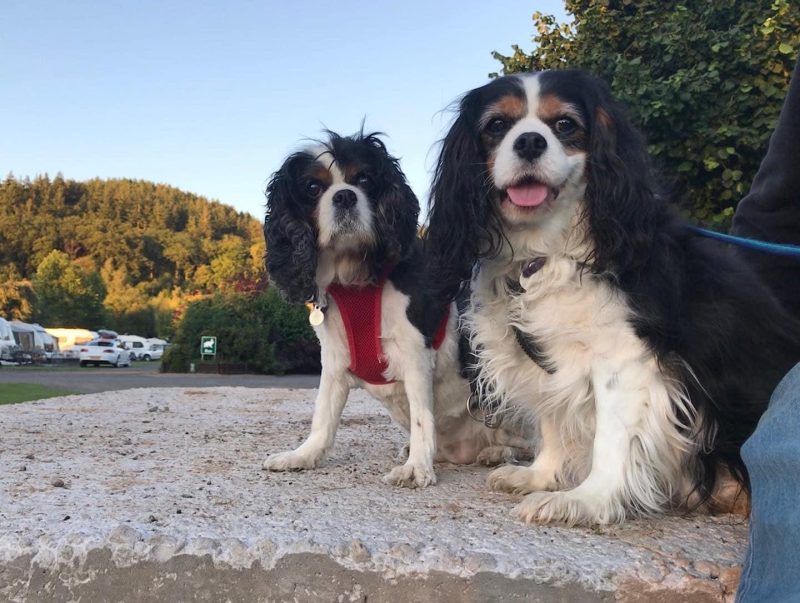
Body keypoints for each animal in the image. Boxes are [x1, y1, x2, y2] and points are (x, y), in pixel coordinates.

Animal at [262, 130, 536, 488]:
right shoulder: (334, 360)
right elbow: (323, 417)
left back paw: (499, 453)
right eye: (312, 187)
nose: (345, 197)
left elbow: (422, 417)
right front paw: (302, 456)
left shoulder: (415, 353)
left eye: (364, 179)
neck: (356, 278)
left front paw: (417, 468)